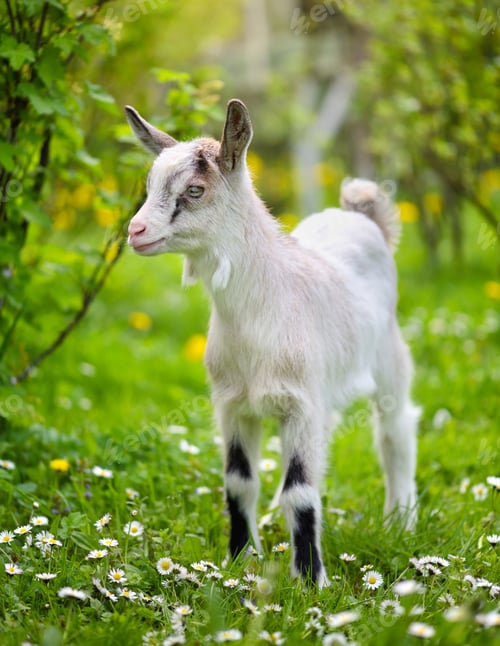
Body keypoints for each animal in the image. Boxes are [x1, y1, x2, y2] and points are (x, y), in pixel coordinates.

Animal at [125, 99, 419, 587]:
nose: (136, 231)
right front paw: (240, 561)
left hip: (389, 360)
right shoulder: (233, 406)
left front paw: (311, 581)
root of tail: (360, 214)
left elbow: (299, 492)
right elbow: (239, 482)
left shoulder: (299, 406)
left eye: (195, 189)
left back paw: (401, 521)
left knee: (395, 432)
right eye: (149, 186)